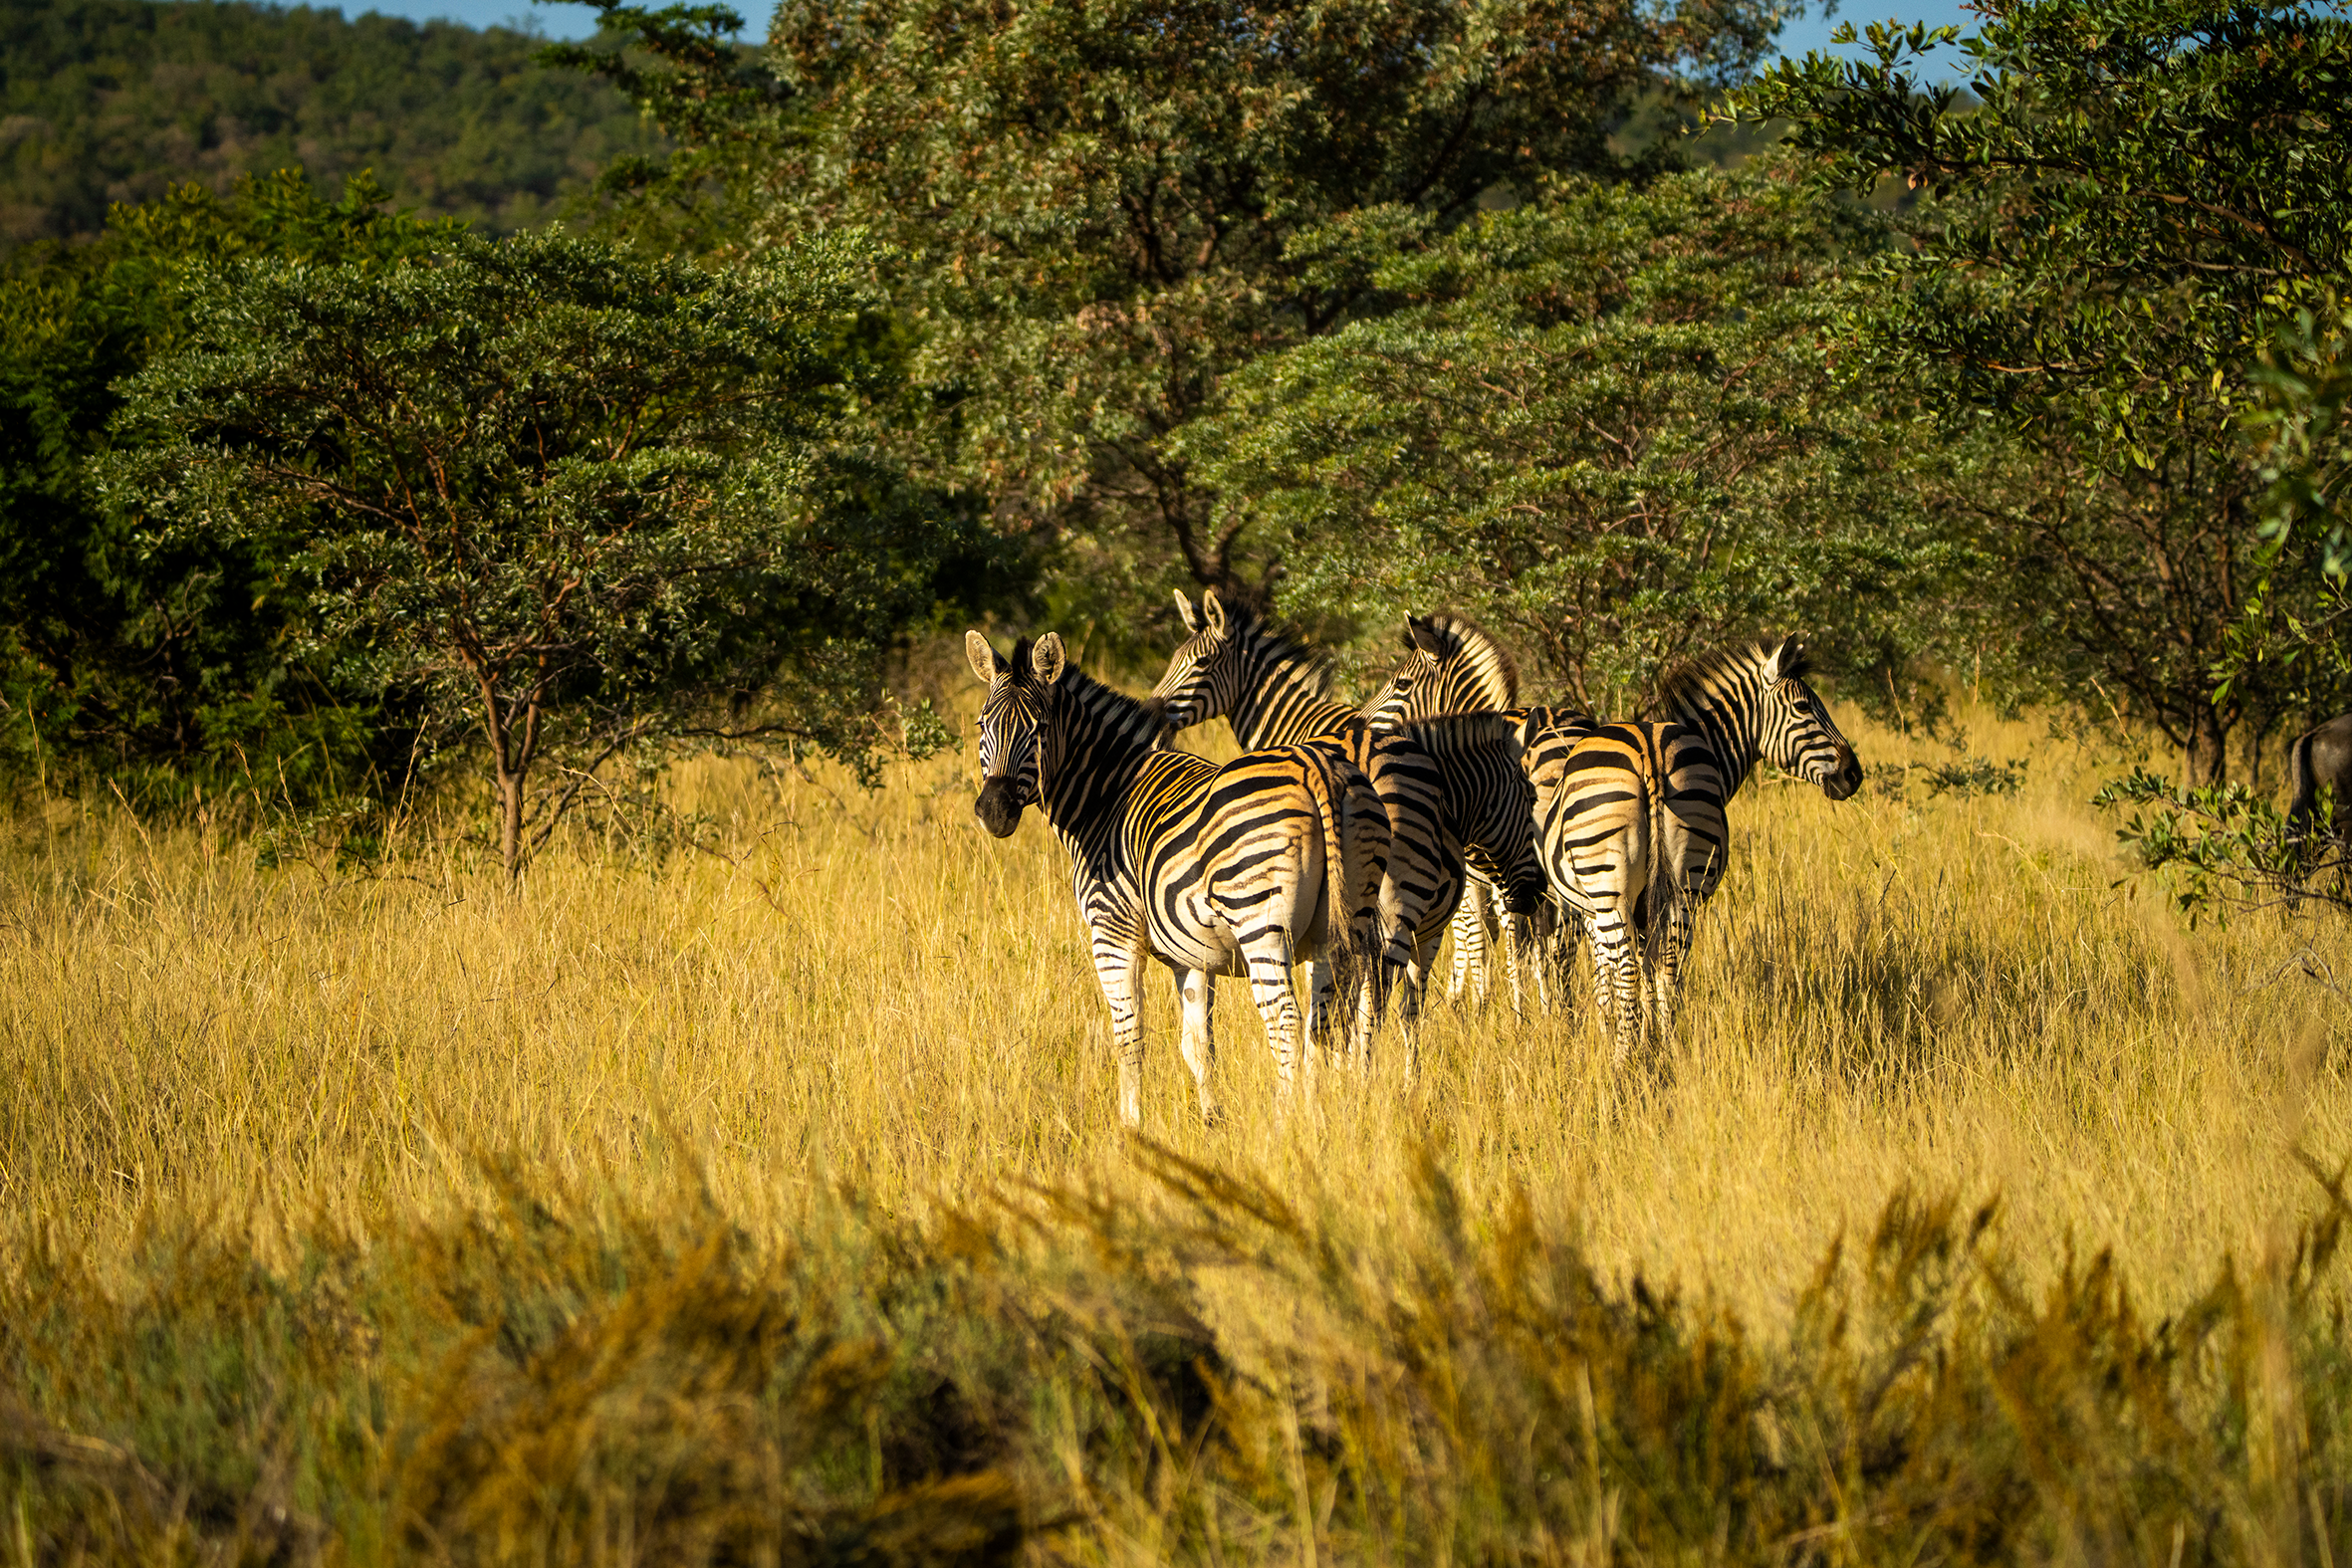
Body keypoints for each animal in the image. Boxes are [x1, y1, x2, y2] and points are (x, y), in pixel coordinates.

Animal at [967, 630, 1389, 1125]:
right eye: (982, 726)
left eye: (1038, 729)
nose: (994, 811)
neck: (1105, 797)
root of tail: (1315, 767)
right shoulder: (1191, 955)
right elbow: (1198, 1044)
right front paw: (1211, 1120)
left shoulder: (1112, 934)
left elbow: (1129, 1037)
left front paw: (1131, 1125)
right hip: (1343, 921)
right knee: (1327, 1020)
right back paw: (1318, 1115)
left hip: (1260, 921)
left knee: (1285, 1021)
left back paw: (1284, 1125)